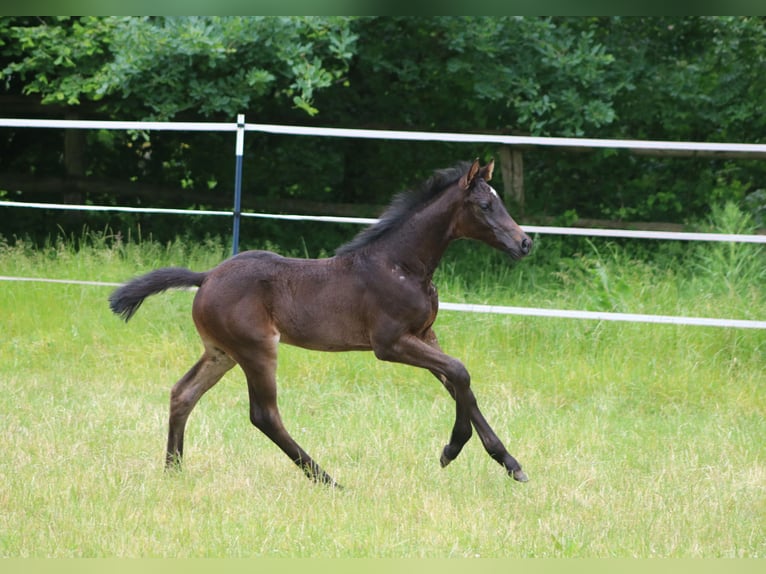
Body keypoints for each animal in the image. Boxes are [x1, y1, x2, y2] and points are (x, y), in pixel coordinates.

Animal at [111, 160, 536, 488]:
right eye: (485, 205)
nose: (525, 243)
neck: (400, 264)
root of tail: (206, 277)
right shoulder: (390, 343)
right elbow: (460, 373)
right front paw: (452, 448)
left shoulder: (424, 335)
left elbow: (459, 385)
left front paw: (509, 463)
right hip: (256, 349)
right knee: (264, 415)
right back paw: (327, 479)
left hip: (221, 353)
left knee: (183, 393)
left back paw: (173, 470)